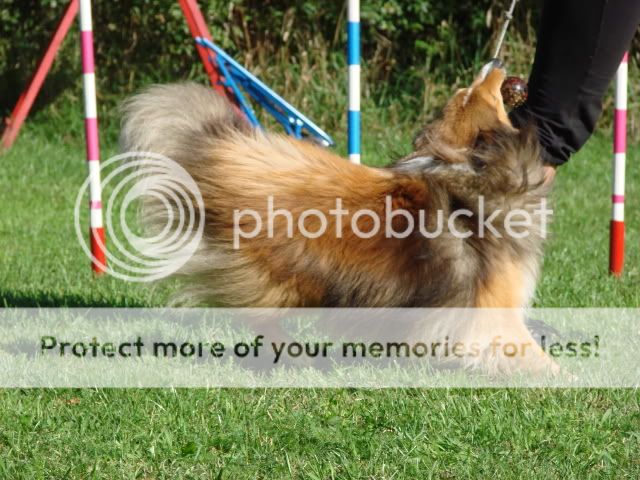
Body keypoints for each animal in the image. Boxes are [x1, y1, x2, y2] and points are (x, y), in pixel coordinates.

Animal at [120, 60, 559, 375]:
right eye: (469, 93)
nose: (494, 62)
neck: (473, 171)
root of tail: (224, 152)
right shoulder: (494, 313)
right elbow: (534, 357)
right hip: (283, 276)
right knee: (260, 318)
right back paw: (297, 359)